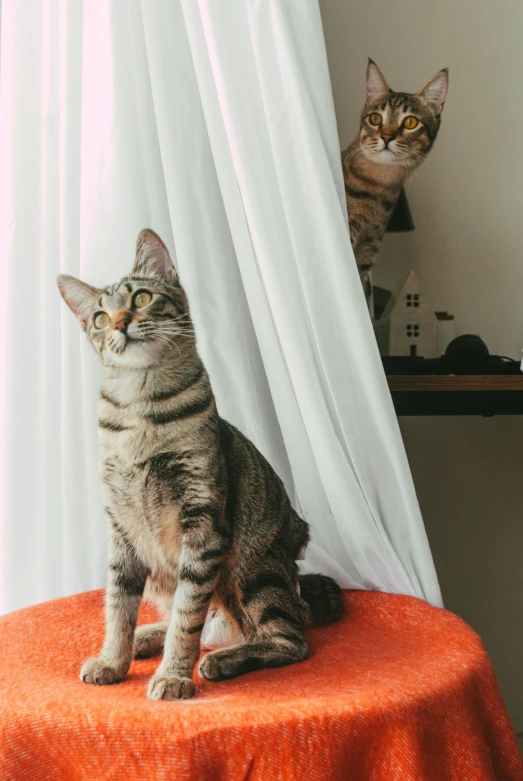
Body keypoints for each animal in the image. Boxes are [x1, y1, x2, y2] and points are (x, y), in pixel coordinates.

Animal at [57, 227, 344, 700]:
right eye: (99, 318)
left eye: (140, 298)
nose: (118, 324)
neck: (140, 411)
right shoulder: (121, 527)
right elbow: (118, 606)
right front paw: (113, 660)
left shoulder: (202, 516)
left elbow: (186, 618)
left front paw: (174, 675)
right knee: (203, 622)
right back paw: (146, 637)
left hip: (254, 570)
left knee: (286, 639)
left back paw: (221, 660)